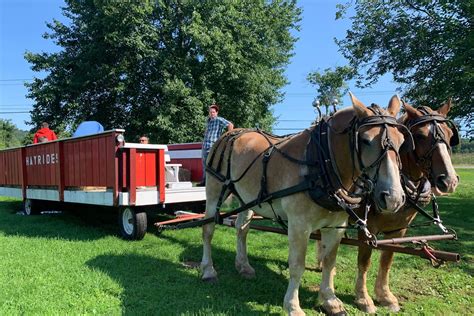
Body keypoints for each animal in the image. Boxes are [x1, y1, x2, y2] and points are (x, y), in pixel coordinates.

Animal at [200, 92, 408, 314]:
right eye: (366, 140)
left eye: (402, 141)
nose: (393, 198)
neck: (322, 162)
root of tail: (230, 133)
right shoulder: (299, 225)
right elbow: (297, 265)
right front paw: (292, 305)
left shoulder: (336, 226)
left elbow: (329, 262)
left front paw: (330, 300)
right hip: (214, 190)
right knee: (208, 229)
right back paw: (208, 270)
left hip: (247, 198)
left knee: (242, 229)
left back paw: (243, 265)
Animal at [350, 100, 458, 312]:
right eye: (420, 136)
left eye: (450, 135)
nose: (449, 180)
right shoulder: (367, 229)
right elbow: (364, 262)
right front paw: (363, 299)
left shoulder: (399, 229)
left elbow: (387, 259)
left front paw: (385, 296)